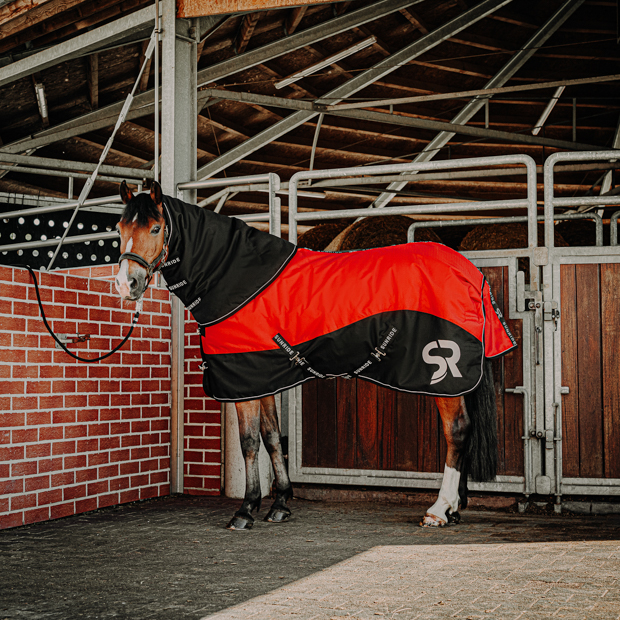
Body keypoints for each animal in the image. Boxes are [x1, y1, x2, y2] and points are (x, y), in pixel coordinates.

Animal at [115, 182, 512, 532]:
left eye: (155, 227)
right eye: (119, 228)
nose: (126, 284)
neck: (237, 278)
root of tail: (470, 270)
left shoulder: (244, 379)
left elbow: (249, 442)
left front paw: (246, 509)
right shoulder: (263, 377)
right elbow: (272, 437)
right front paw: (279, 504)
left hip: (445, 374)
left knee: (457, 432)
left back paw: (439, 510)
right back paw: (454, 508)